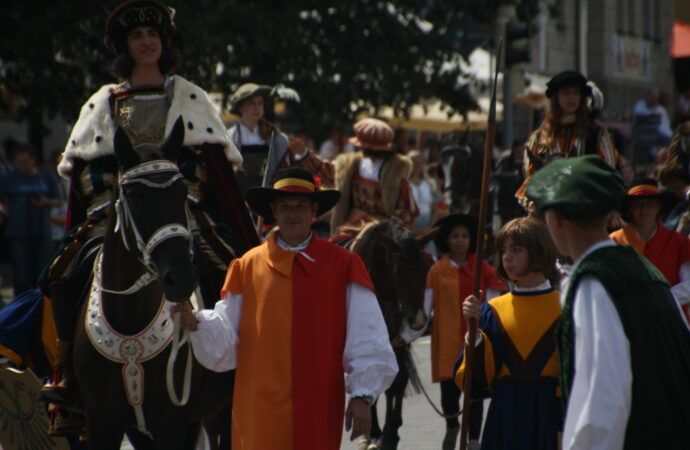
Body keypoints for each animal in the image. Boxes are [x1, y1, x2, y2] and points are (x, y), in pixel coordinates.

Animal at [71, 119, 234, 450]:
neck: (130, 318)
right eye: (133, 197)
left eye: (183, 193)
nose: (181, 279)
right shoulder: (102, 422)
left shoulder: (173, 423)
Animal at [342, 220, 432, 448]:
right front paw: (376, 432)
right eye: (399, 271)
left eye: (425, 269)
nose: (419, 320)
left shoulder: (399, 338)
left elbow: (398, 381)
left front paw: (391, 433)